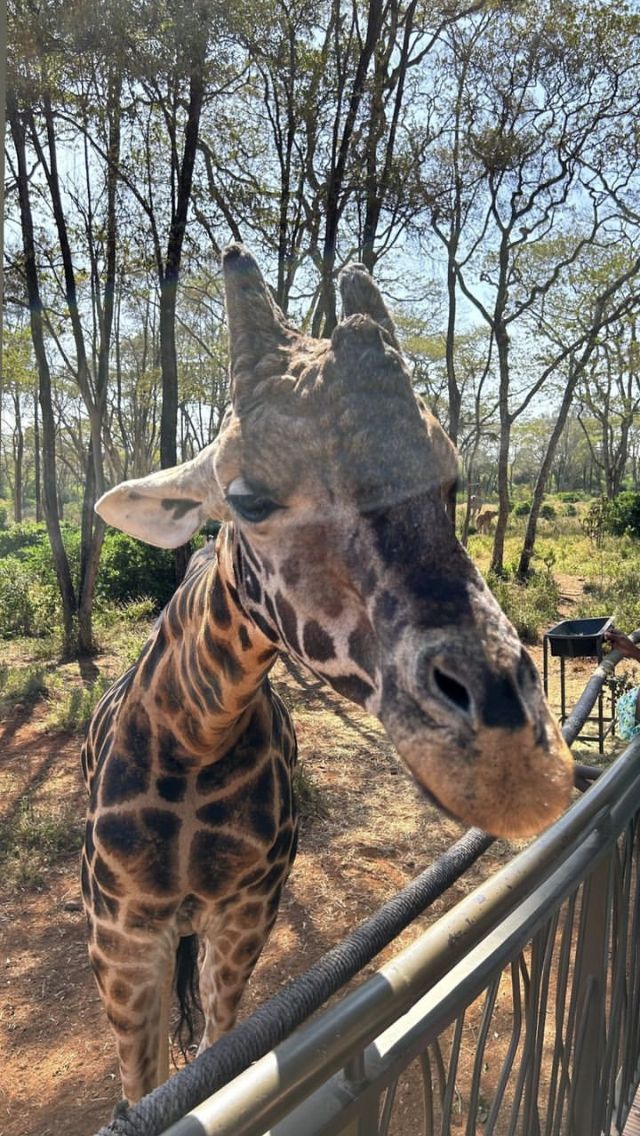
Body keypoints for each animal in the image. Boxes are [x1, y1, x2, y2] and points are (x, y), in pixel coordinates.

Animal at [82, 244, 574, 1107]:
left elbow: (216, 1048)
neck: (193, 739)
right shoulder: (122, 935)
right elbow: (145, 1089)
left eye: (450, 481)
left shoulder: (246, 913)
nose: (516, 765)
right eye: (248, 499)